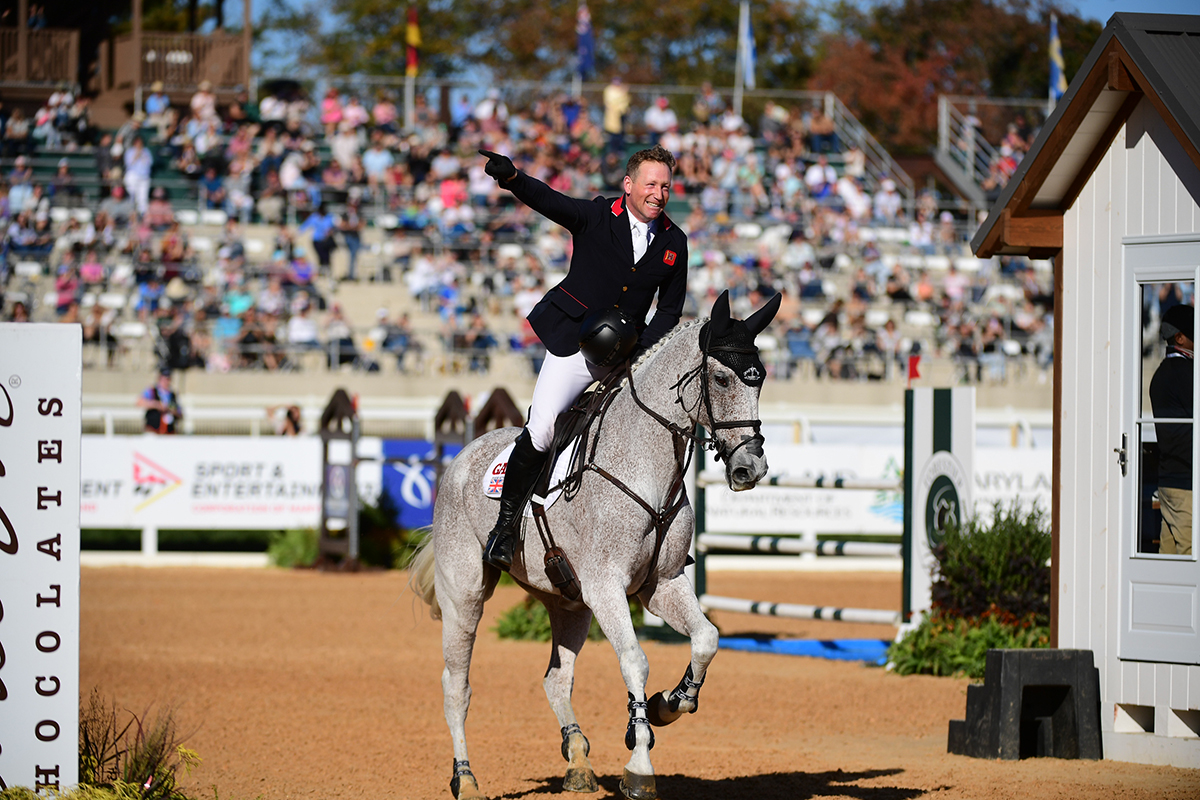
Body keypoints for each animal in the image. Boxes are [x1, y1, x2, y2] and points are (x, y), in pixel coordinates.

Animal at [408, 291, 782, 796]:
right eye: (722, 378)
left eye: (759, 380)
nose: (750, 468)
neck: (646, 466)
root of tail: (461, 456)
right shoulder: (607, 587)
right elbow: (635, 661)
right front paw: (639, 762)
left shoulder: (662, 583)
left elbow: (707, 639)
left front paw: (668, 704)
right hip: (465, 595)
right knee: (456, 685)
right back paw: (465, 778)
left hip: (569, 602)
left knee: (556, 678)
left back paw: (578, 760)